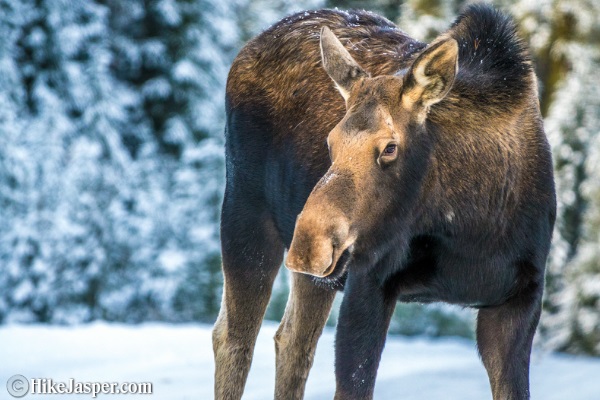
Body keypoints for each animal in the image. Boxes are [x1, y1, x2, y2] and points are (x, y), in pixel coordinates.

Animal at [213, 3, 556, 400]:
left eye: (390, 147)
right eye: (331, 142)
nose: (308, 244)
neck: (471, 230)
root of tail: (248, 49)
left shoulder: (519, 301)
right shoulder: (369, 280)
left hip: (315, 275)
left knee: (292, 342)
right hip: (245, 213)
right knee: (233, 339)